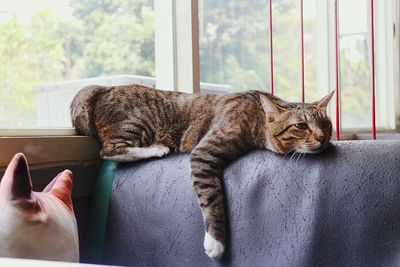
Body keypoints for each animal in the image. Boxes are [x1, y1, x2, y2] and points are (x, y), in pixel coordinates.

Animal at [69, 85, 334, 260]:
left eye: (326, 124)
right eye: (300, 126)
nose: (322, 138)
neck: (257, 117)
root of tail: (101, 88)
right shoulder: (204, 153)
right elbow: (211, 197)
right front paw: (216, 241)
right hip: (139, 124)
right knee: (110, 150)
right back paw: (156, 149)